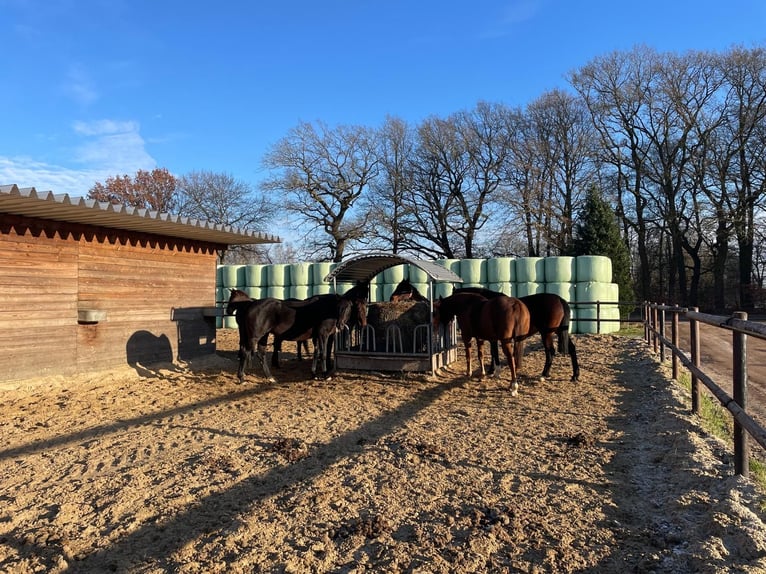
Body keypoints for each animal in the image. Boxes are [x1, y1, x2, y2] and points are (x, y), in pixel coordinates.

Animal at [456, 288, 584, 382]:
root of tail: (560, 299)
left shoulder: (493, 339)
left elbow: (493, 353)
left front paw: (492, 371)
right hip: (559, 331)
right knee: (571, 348)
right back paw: (575, 375)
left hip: (546, 333)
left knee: (550, 352)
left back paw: (544, 374)